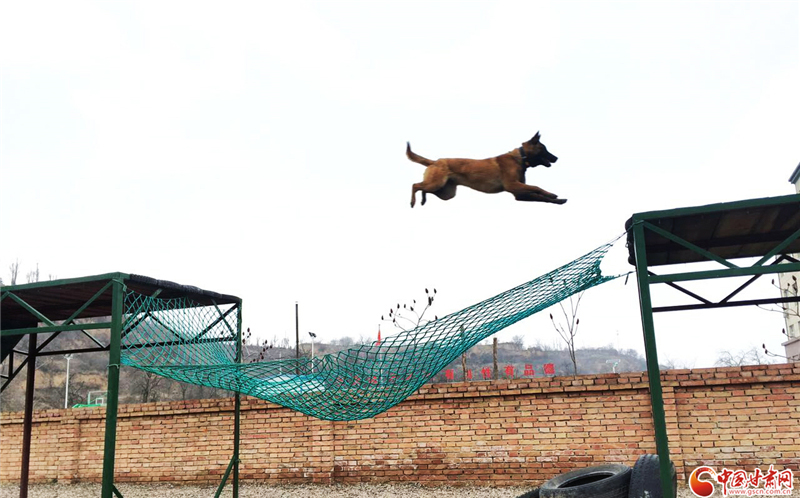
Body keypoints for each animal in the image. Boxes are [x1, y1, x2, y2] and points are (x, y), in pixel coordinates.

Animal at [406, 132, 566, 208]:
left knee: (423, 188)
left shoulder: (519, 194)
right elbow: (537, 188)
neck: (521, 157)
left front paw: (558, 200)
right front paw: (552, 194)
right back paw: (413, 202)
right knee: (415, 185)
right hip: (437, 184)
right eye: (544, 149)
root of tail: (435, 161)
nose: (557, 158)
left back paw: (423, 200)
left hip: (446, 193)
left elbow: (540, 197)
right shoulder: (514, 186)